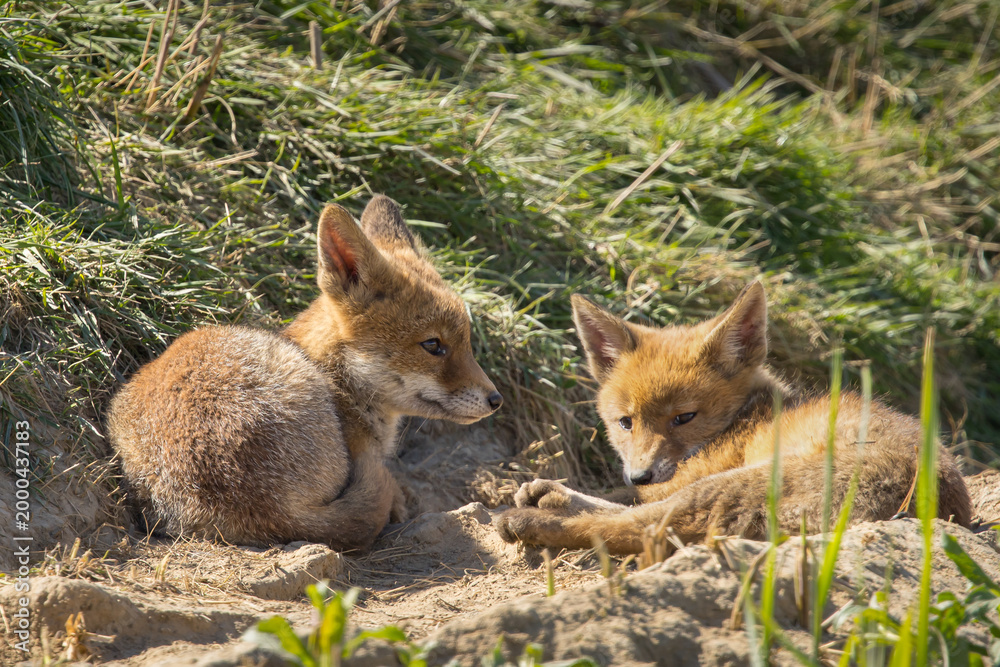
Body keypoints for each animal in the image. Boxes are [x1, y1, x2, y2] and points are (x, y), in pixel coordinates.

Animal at [497, 281, 971, 555]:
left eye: (684, 417)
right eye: (625, 422)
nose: (640, 472)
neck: (747, 416)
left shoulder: (695, 473)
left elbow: (626, 499)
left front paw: (551, 500)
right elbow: (622, 494)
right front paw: (549, 490)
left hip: (727, 486)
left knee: (635, 529)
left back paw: (527, 523)